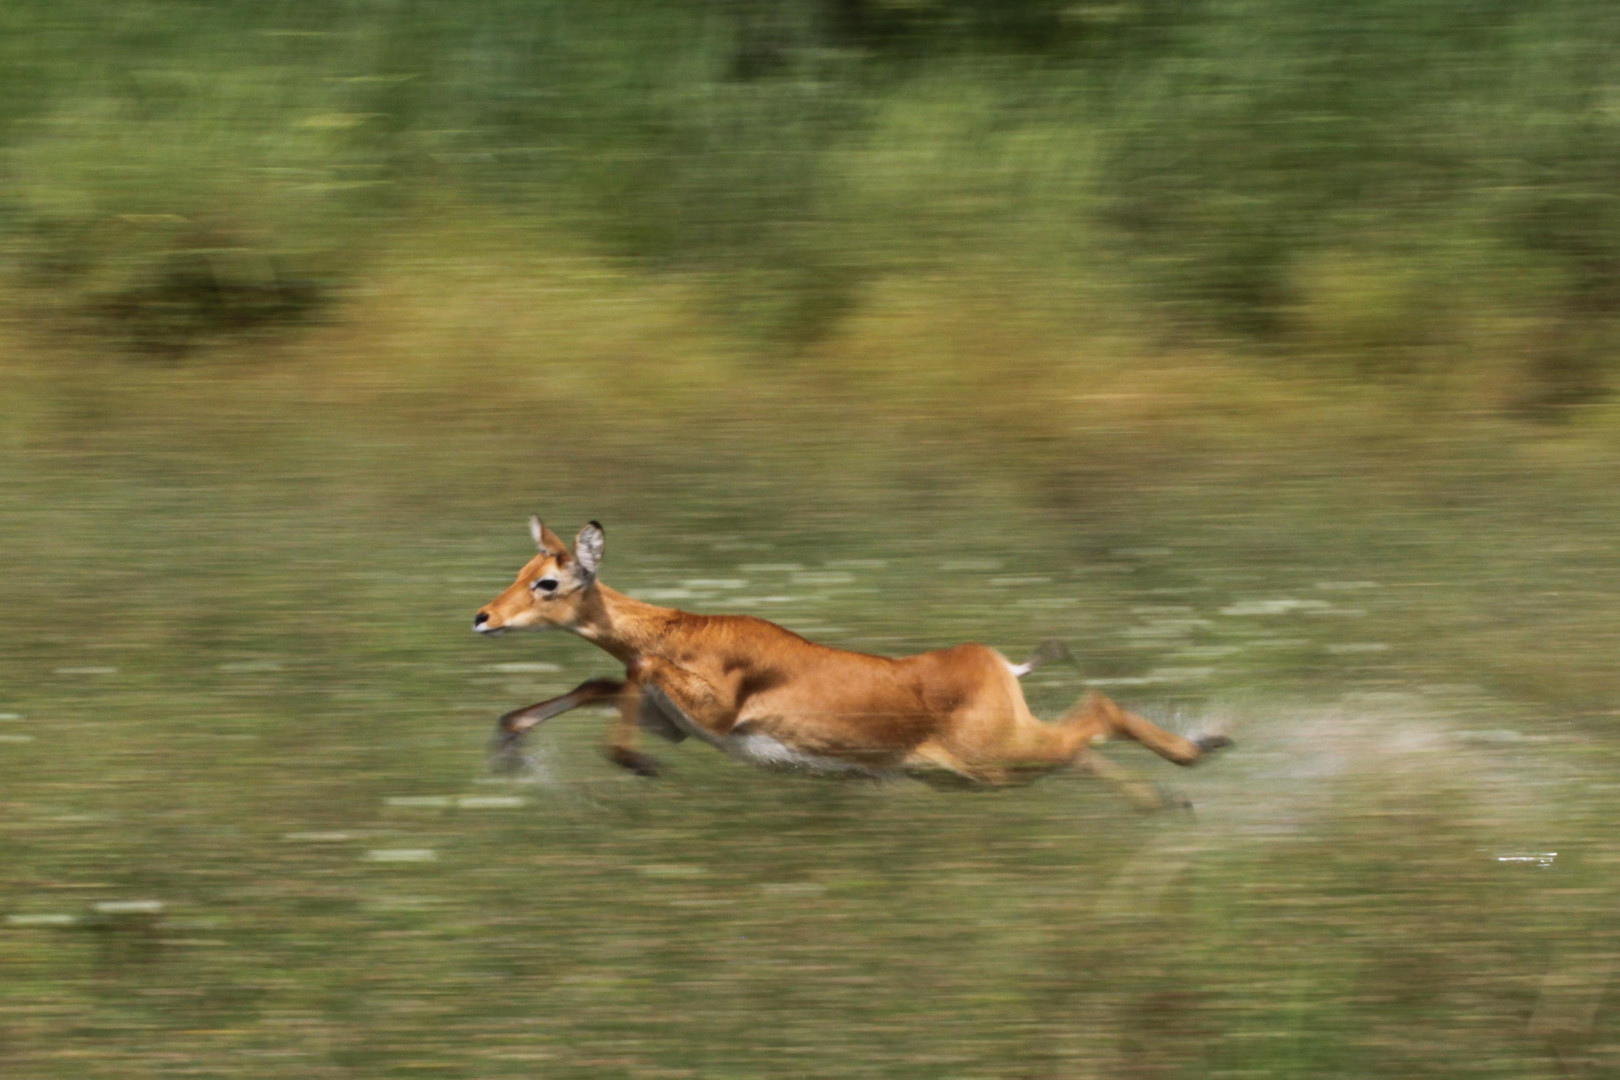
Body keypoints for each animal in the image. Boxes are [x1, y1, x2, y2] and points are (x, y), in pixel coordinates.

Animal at [473, 518, 1231, 806]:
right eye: (521, 569)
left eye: (550, 581)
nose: (482, 617)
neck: (681, 629)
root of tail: (997, 663)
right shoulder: (677, 722)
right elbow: (599, 679)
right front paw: (508, 741)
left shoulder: (713, 712)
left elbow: (633, 671)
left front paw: (635, 764)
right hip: (993, 763)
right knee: (1083, 743)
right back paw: (1178, 788)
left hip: (996, 759)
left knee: (1095, 712)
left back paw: (1202, 752)